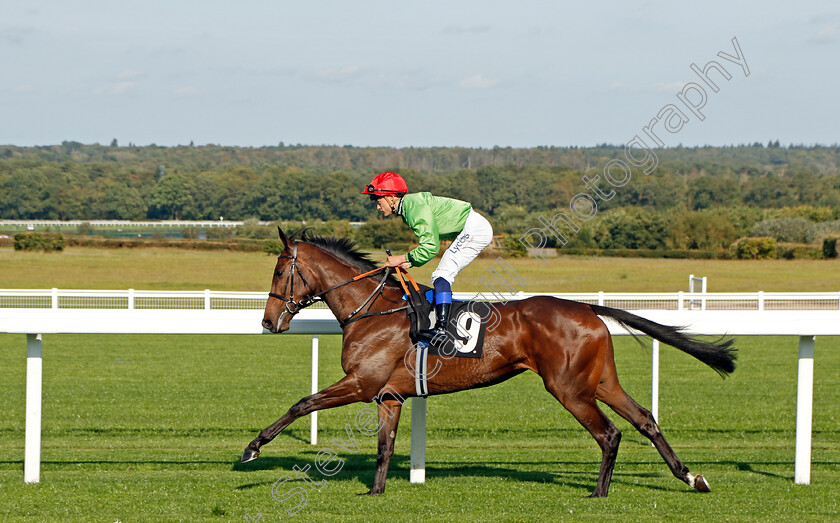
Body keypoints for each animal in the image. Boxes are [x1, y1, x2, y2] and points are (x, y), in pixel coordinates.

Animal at [243, 227, 736, 498]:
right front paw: (377, 491)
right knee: (645, 418)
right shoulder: (388, 395)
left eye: (279, 271)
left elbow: (302, 403)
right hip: (599, 381)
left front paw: (252, 448)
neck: (375, 310)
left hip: (569, 388)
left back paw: (599, 492)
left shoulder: (362, 383)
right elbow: (384, 446)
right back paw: (690, 477)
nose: (267, 321)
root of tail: (586, 308)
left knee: (609, 433)